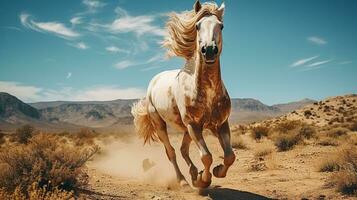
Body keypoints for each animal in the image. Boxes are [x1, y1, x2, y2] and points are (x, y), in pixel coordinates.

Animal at [131, 0, 234, 188]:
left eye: (221, 26)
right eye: (198, 26)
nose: (209, 50)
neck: (206, 92)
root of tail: (153, 81)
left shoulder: (220, 124)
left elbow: (230, 156)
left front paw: (215, 172)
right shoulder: (194, 125)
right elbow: (206, 156)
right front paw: (204, 180)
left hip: (186, 129)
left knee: (183, 150)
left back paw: (193, 174)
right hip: (161, 125)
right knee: (171, 152)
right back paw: (183, 181)